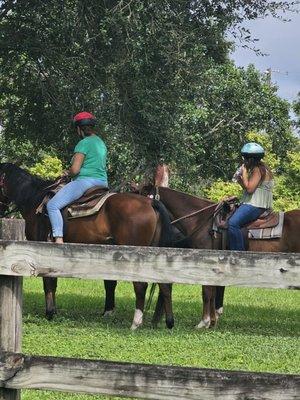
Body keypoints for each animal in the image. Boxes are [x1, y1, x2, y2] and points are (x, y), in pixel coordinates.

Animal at [0, 161, 175, 330]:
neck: (32, 198)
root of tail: (151, 202)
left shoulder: (42, 250)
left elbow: (49, 282)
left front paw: (50, 313)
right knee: (164, 285)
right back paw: (169, 322)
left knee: (140, 285)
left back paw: (136, 323)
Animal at [139, 167, 300, 330]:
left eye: (141, 195)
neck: (201, 220)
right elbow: (213, 292)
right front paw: (212, 320)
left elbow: (207, 291)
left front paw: (204, 322)